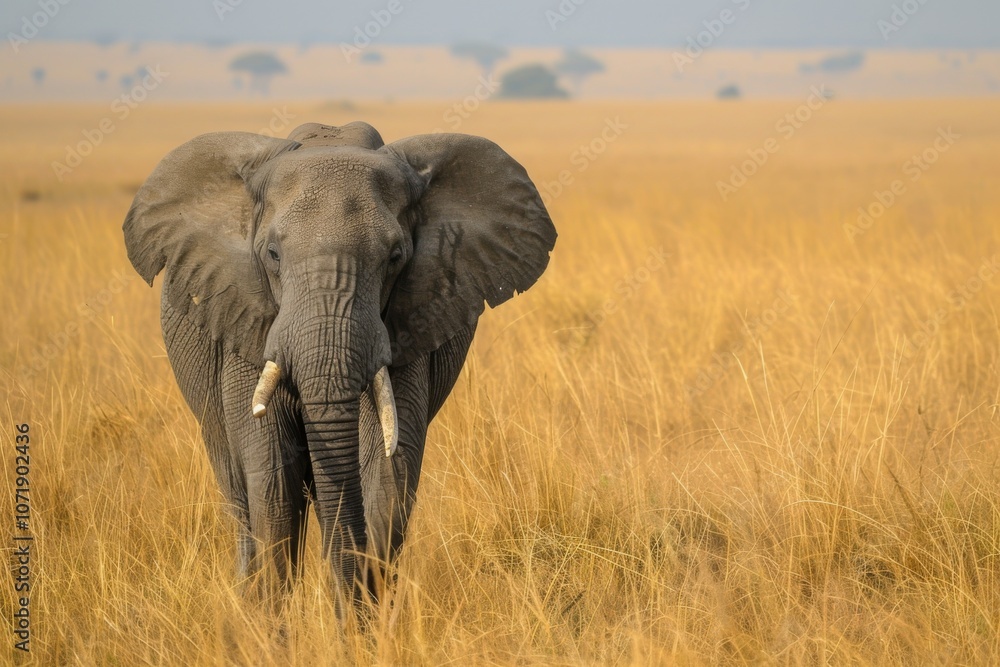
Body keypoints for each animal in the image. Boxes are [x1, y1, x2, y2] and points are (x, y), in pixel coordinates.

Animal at [122, 121, 556, 605]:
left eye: (395, 257)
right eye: (272, 255)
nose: (343, 611)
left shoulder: (407, 323)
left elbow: (385, 472)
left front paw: (364, 616)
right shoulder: (246, 318)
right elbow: (272, 477)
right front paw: (273, 623)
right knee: (240, 497)